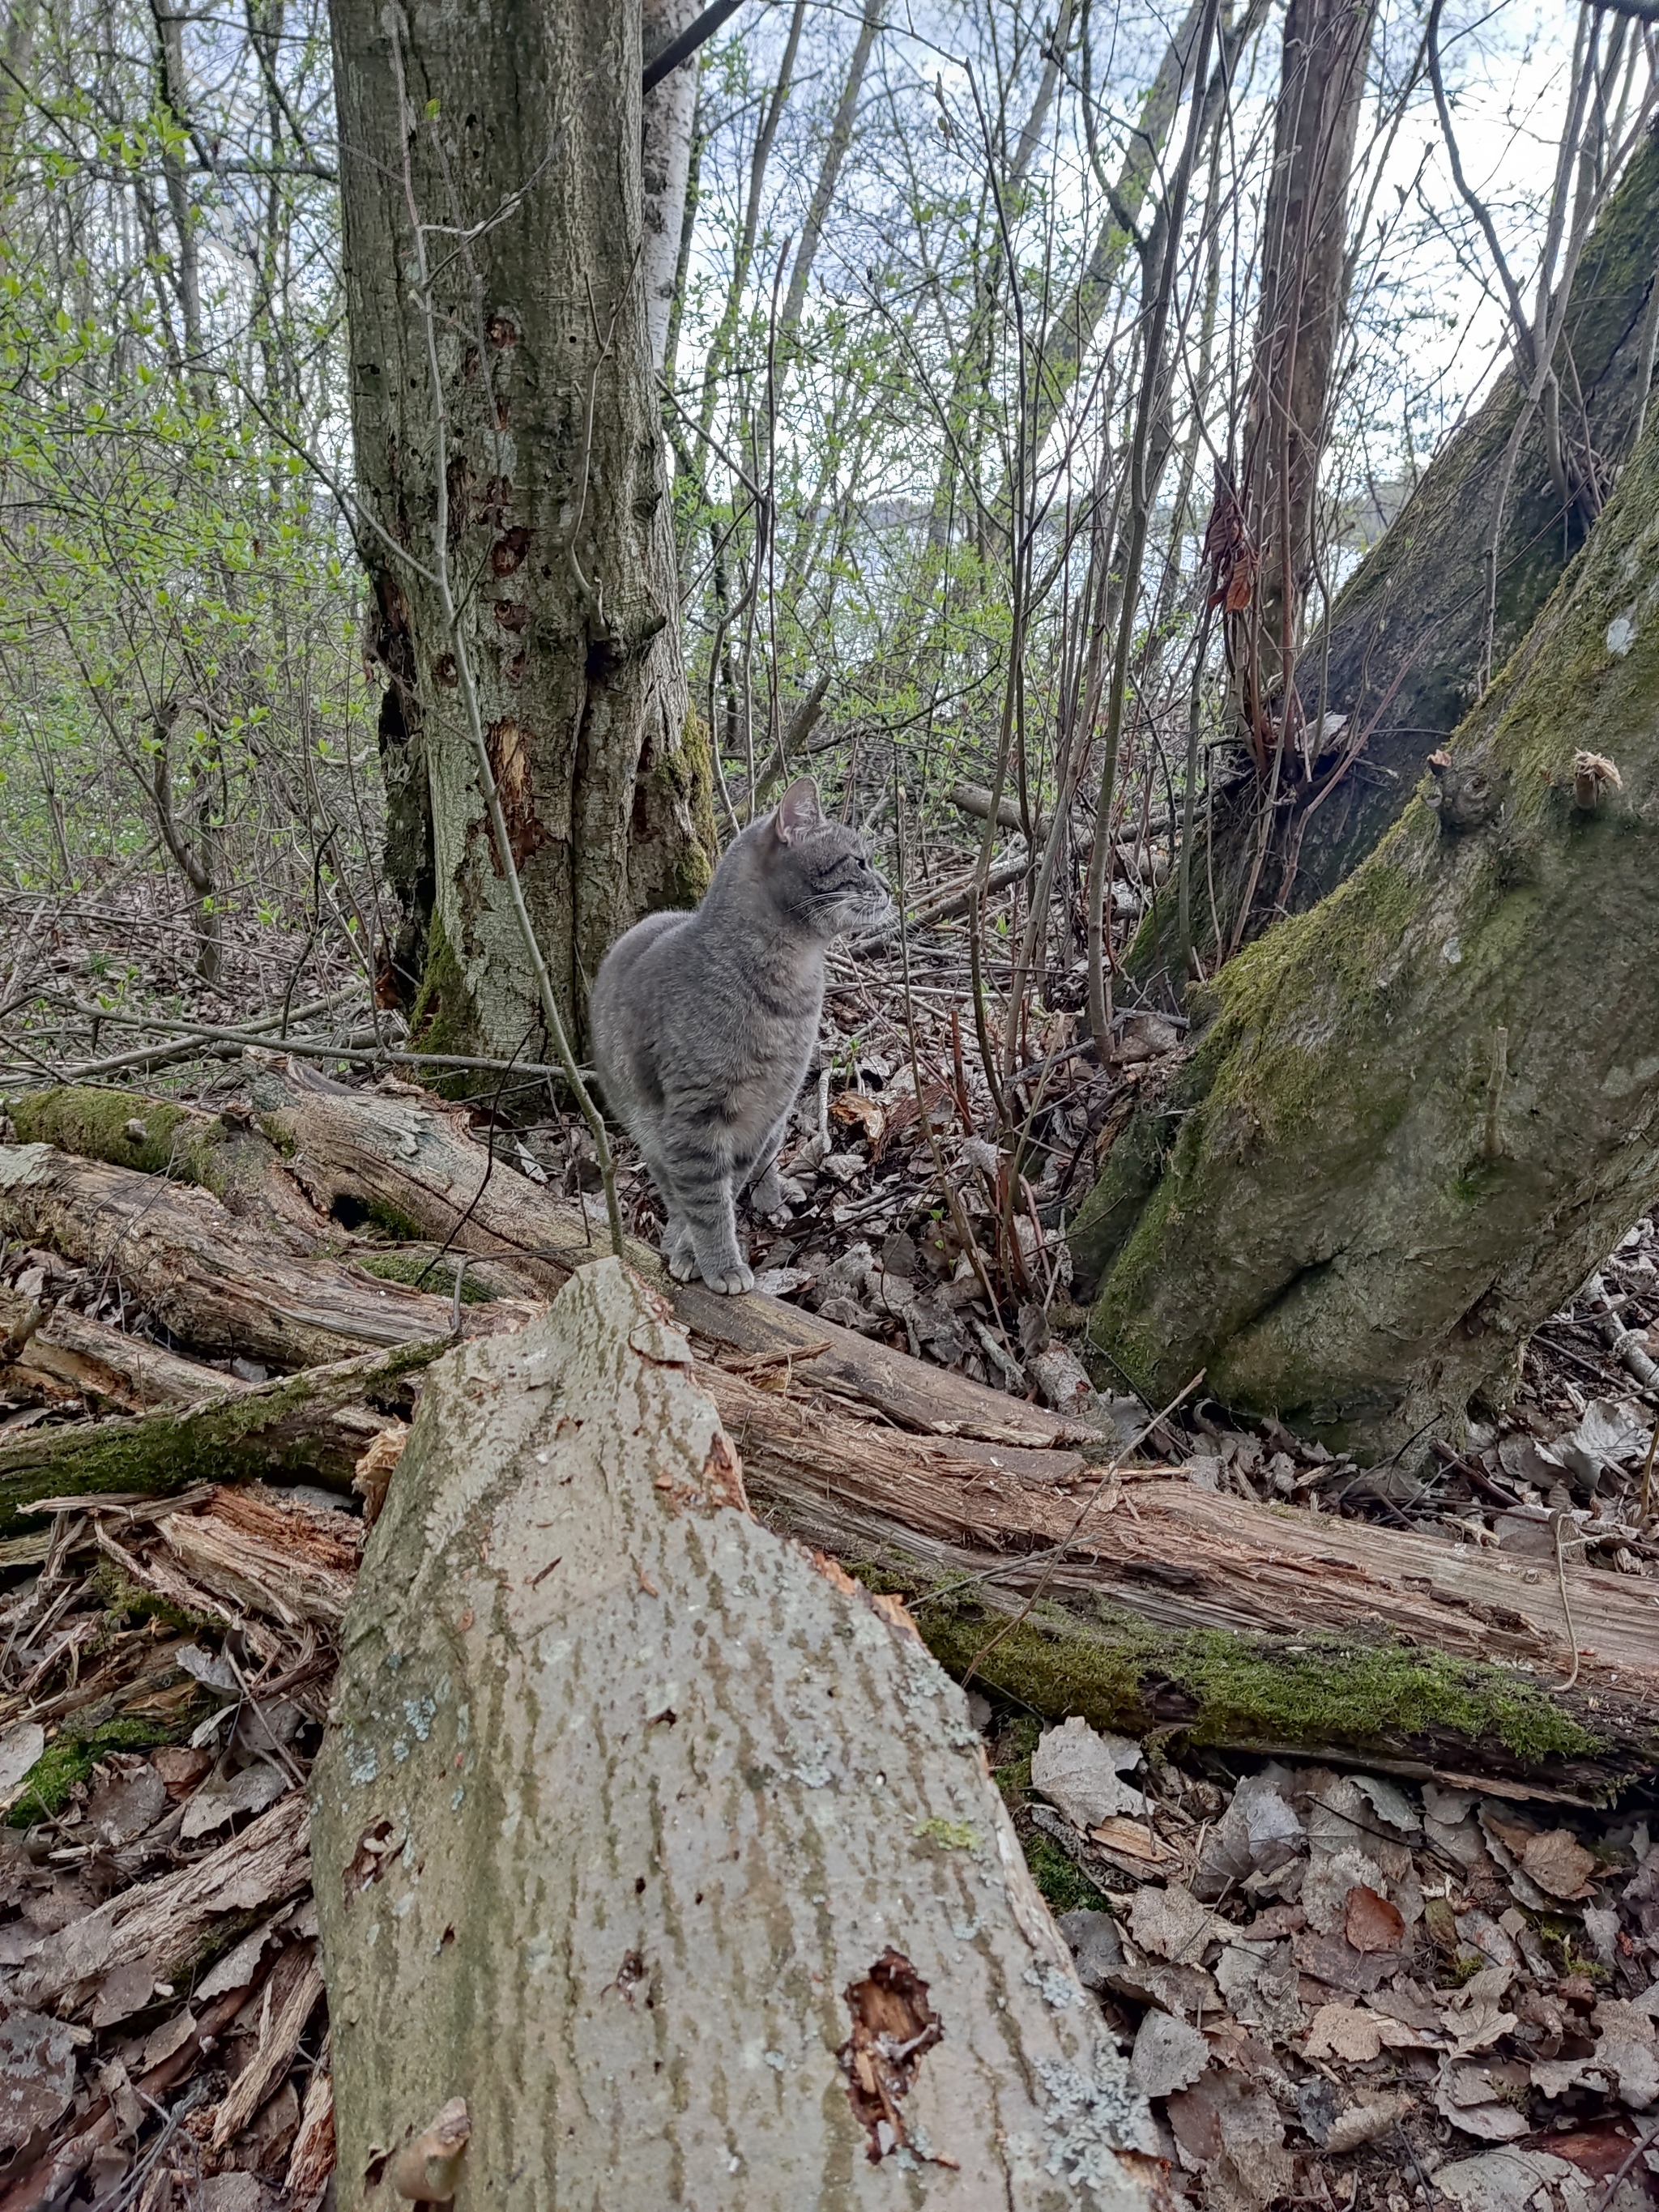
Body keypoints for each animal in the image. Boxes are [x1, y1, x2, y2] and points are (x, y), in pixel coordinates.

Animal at [592, 782, 889, 1291]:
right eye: (860, 861)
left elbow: (727, 1189)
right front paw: (713, 1259)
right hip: (645, 1124)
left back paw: (770, 1195)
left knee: (763, 1162)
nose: (889, 888)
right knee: (670, 1185)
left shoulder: (765, 1112)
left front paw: (700, 1251)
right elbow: (705, 1201)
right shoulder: (695, 1118)